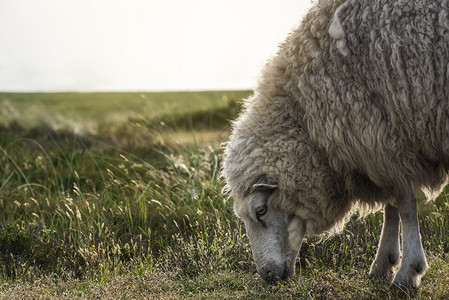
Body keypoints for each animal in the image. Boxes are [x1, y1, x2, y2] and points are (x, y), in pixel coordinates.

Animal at [220, 0, 448, 290]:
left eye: (260, 210)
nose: (268, 275)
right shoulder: (381, 138)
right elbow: (392, 204)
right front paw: (384, 262)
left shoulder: (385, 133)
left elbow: (405, 204)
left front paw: (408, 271)